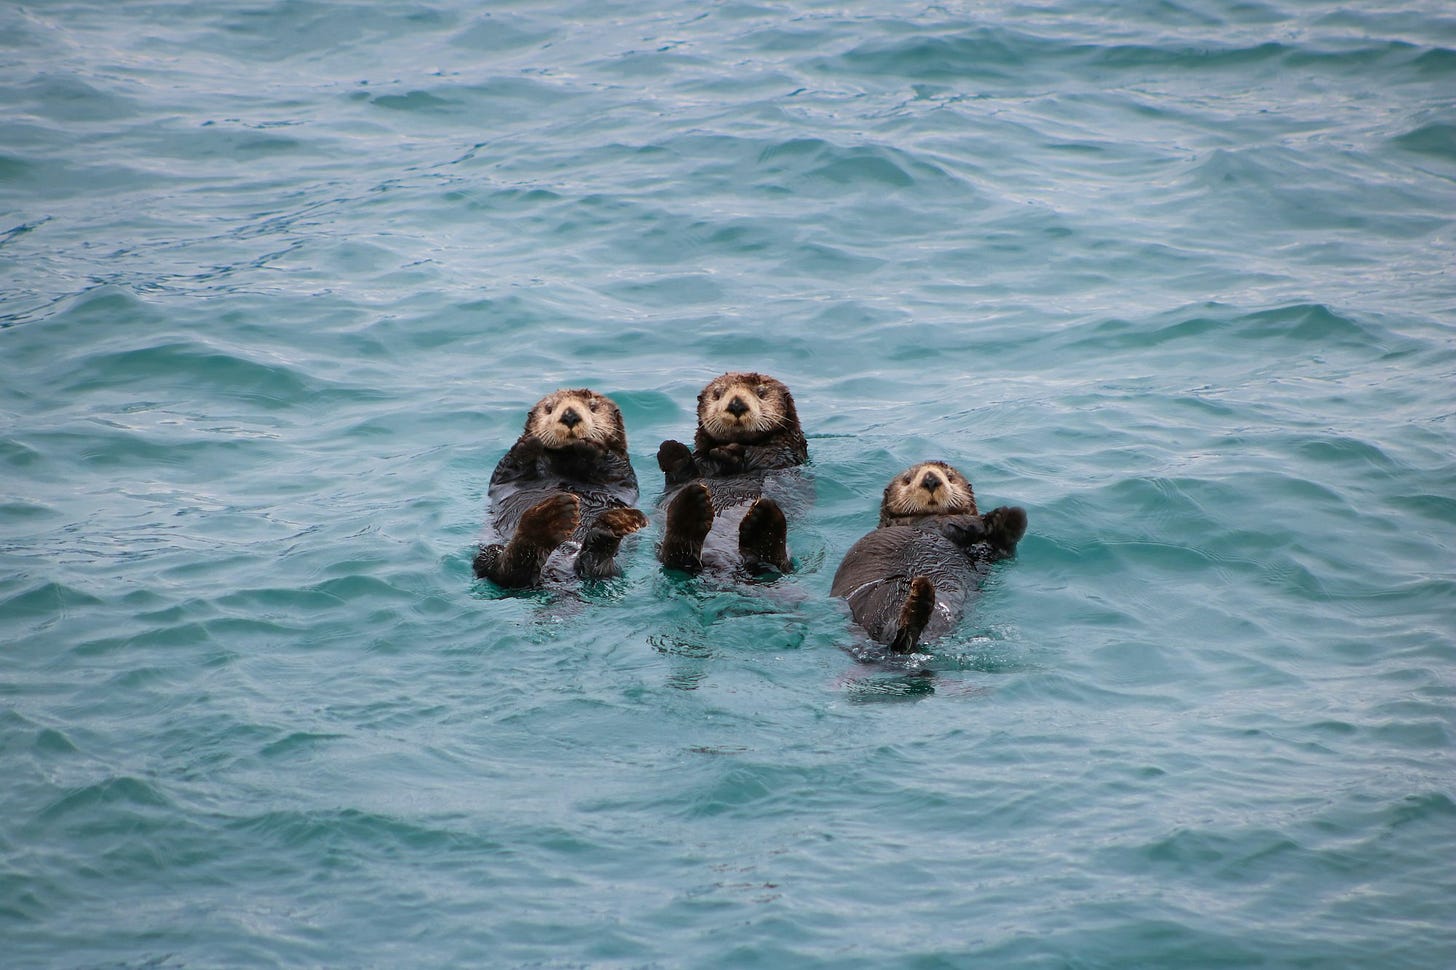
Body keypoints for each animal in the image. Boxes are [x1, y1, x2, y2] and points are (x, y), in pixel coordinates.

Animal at [473, 388, 648, 588]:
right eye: (549, 408)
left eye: (593, 407)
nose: (570, 415)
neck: (566, 462)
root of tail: (557, 571)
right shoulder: (505, 476)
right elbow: (509, 468)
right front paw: (529, 443)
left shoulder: (623, 473)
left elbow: (614, 467)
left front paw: (590, 446)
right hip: (488, 552)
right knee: (504, 571)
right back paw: (548, 520)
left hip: (612, 570)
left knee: (594, 569)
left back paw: (608, 528)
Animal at [655, 371, 810, 575]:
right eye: (718, 394)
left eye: (761, 392)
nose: (736, 404)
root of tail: (723, 562)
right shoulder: (695, 468)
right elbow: (683, 473)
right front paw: (672, 450)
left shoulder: (783, 454)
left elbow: (763, 455)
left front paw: (729, 452)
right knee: (675, 556)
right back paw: (692, 506)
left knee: (777, 564)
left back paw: (763, 521)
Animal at [830, 461, 1026, 653]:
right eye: (907, 479)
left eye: (950, 477)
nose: (930, 479)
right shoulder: (932, 522)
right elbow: (955, 522)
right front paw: (996, 518)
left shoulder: (983, 556)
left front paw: (1006, 520)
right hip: (880, 598)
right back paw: (919, 600)